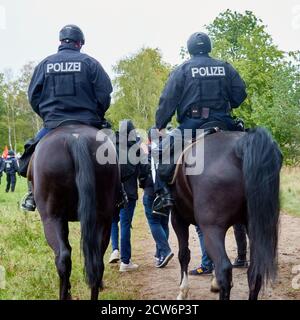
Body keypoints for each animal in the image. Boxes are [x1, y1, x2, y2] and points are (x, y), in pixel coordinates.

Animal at [172, 127, 282, 300]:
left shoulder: (178, 218)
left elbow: (184, 254)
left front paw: (183, 291)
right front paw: (213, 282)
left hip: (212, 228)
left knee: (224, 269)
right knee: (254, 273)